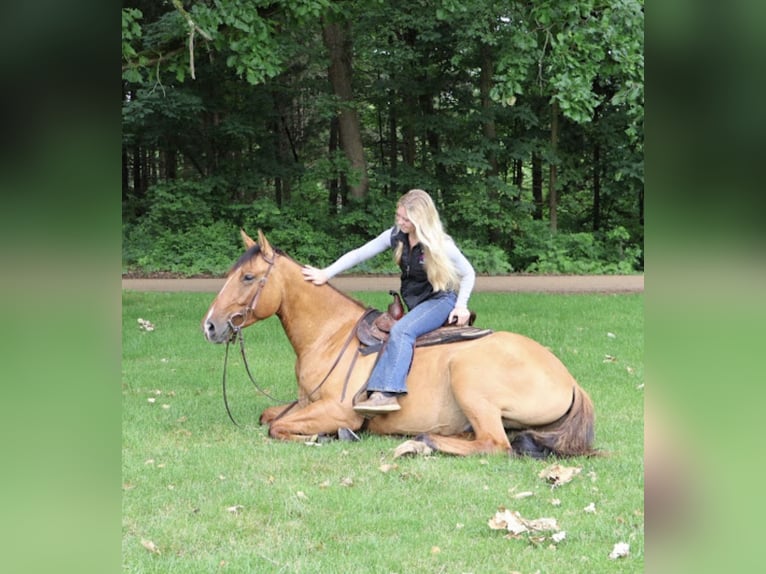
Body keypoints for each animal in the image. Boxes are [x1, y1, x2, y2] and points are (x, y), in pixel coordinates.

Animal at [202, 229, 596, 458]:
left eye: (248, 277)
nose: (210, 326)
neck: (331, 336)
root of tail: (570, 381)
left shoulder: (338, 410)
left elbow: (277, 427)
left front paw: (327, 437)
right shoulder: (304, 403)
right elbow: (269, 416)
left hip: (468, 378)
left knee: (495, 445)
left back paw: (424, 442)